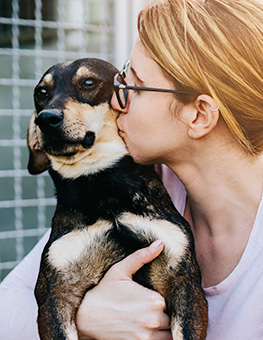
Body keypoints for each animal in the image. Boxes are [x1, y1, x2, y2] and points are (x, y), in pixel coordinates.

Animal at [26, 58, 208, 340]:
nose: (46, 118)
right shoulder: (56, 292)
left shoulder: (183, 279)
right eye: (41, 92)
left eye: (88, 82)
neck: (102, 186)